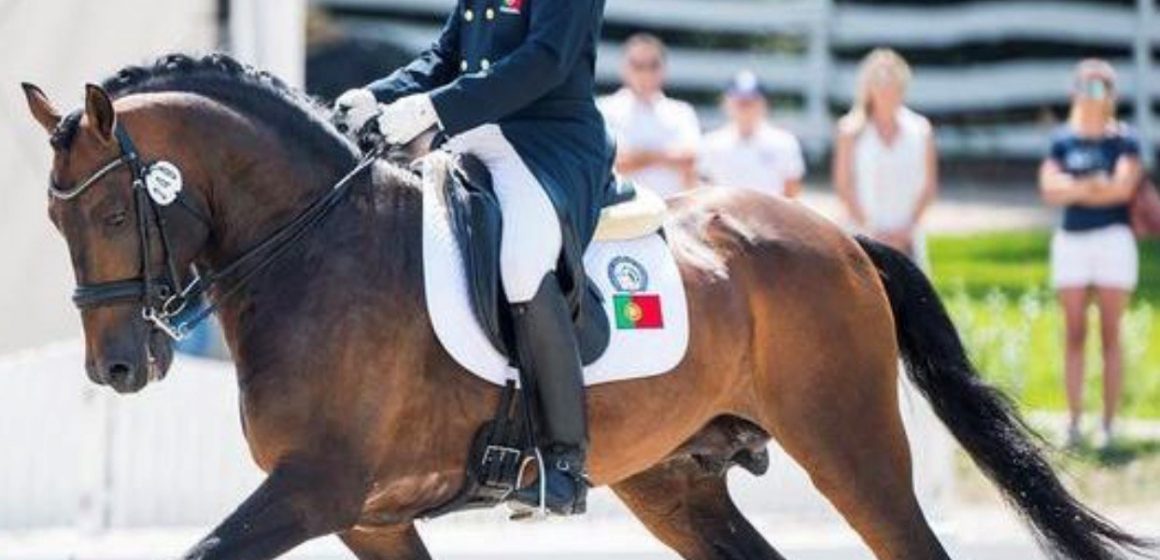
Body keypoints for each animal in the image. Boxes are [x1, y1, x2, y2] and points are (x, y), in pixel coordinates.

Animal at [22, 55, 1146, 560]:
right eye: (53, 218)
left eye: (116, 209)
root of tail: (834, 235)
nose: (117, 367)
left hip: (850, 444)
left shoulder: (317, 487)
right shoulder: (371, 515)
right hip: (675, 480)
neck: (315, 245)